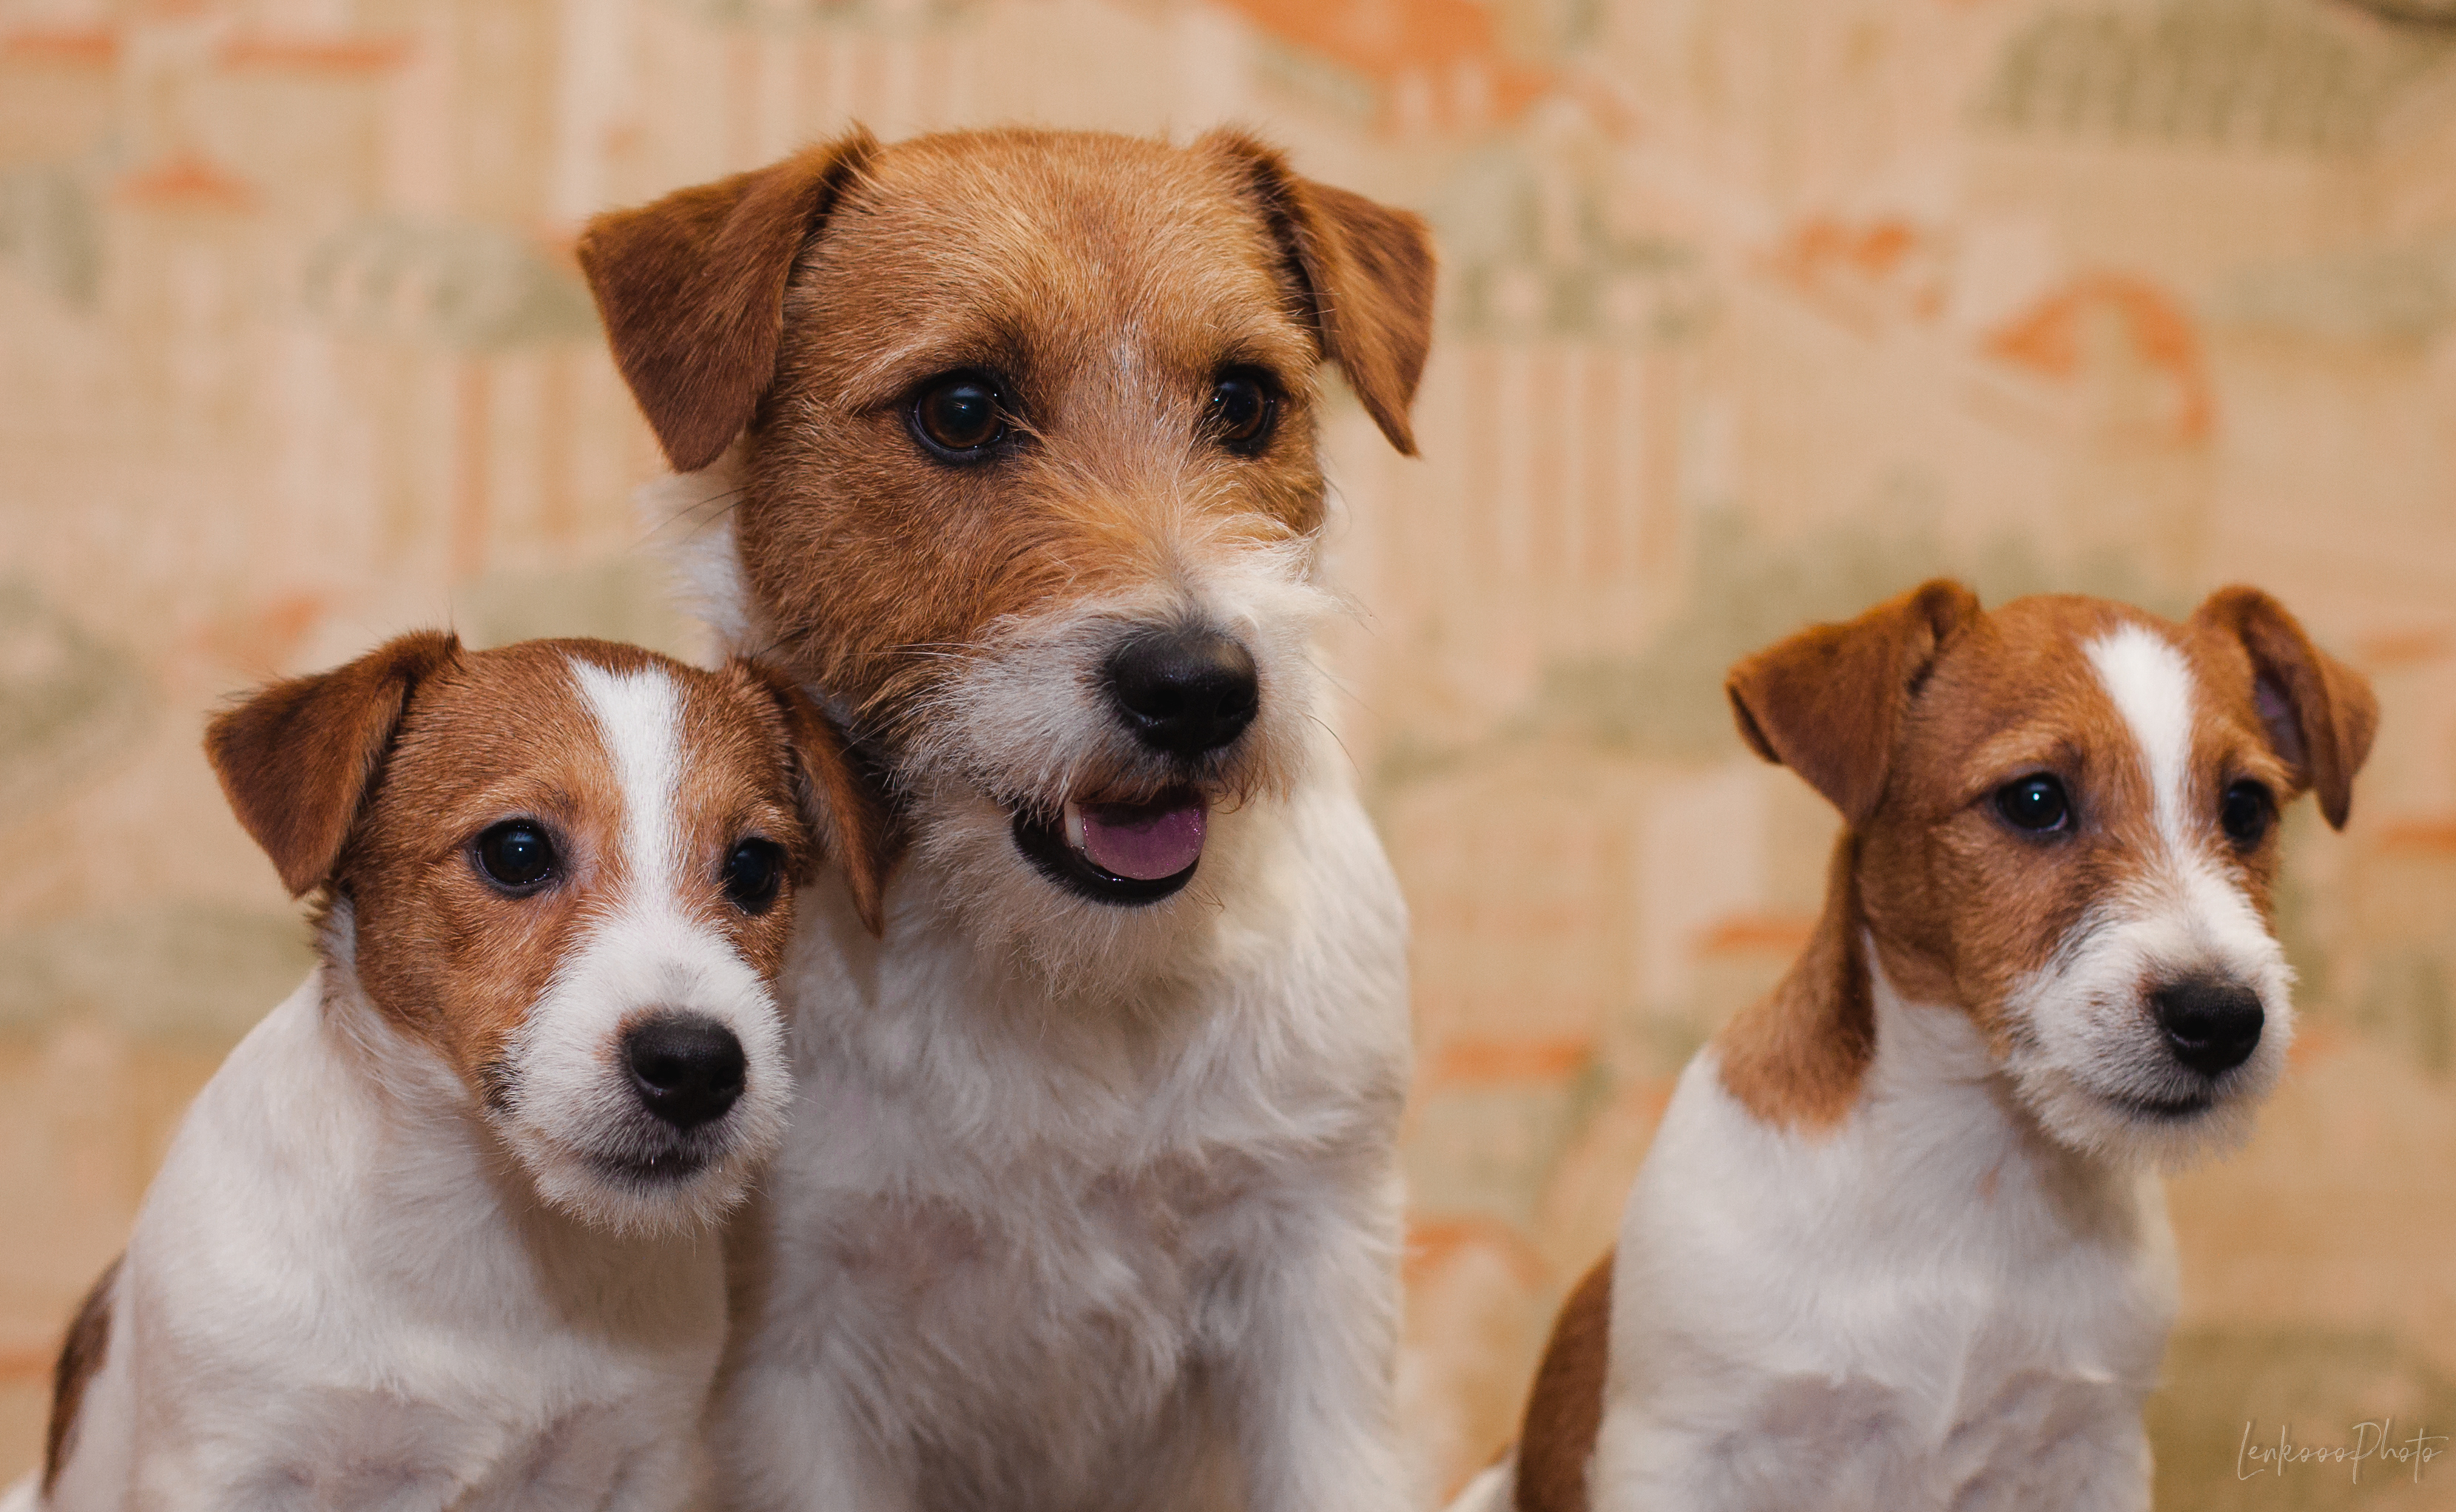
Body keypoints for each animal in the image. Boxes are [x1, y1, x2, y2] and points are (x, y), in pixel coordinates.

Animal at [7, 633, 894, 1512]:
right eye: (517, 852)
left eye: (754, 868)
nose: (696, 1067)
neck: (490, 1226)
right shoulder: (226, 1463)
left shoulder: (650, 1462)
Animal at [574, 126, 1434, 1512]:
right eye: (963, 410)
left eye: (1245, 401)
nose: (1200, 687)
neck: (1061, 984)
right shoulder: (795, 1365)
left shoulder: (1317, 1290)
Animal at [1454, 581, 2377, 1512]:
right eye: (2034, 800)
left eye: (2245, 809)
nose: (2220, 1018)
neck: (1973, 1161)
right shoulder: (1678, 1451)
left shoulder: (2093, 1451)